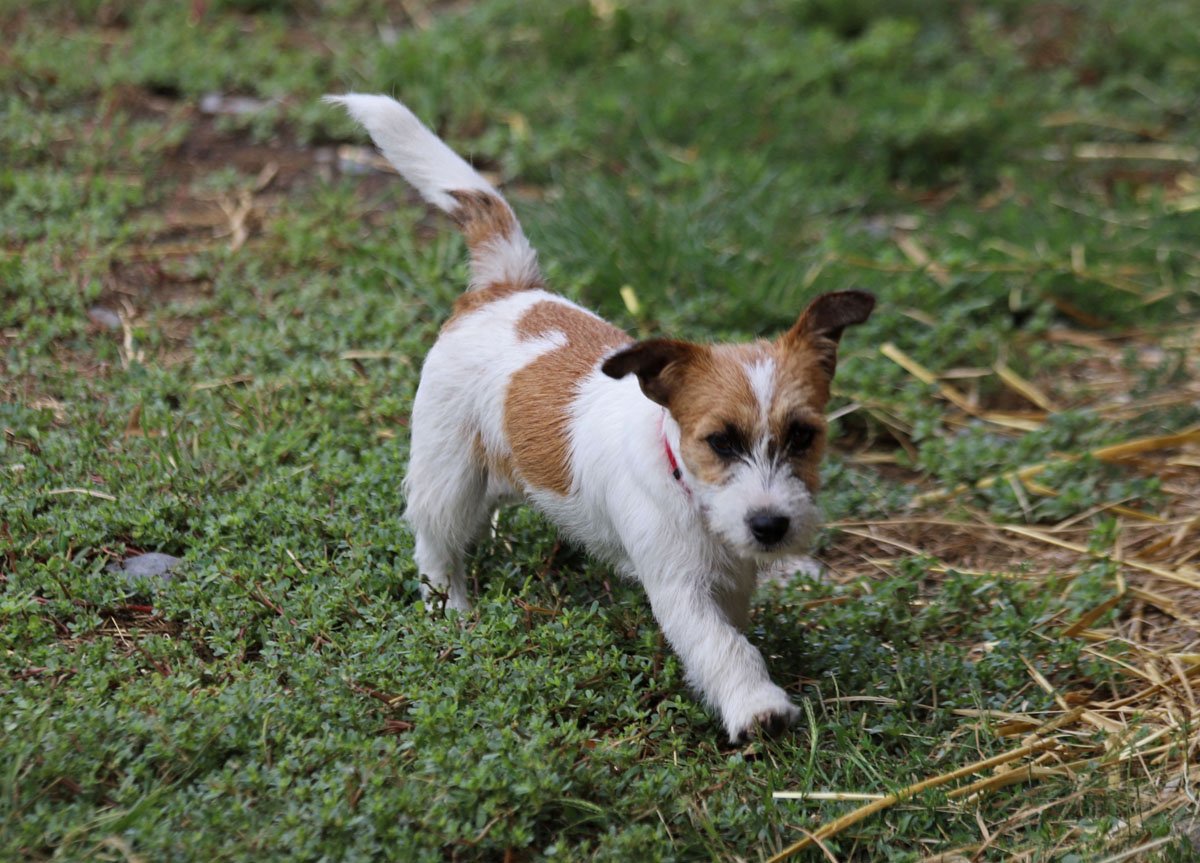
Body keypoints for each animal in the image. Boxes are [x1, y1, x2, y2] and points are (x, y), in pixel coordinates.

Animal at [326, 94, 874, 742]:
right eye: (719, 441)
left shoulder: (732, 578)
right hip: (447, 470)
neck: (683, 481)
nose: (770, 526)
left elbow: (734, 628)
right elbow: (723, 646)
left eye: (803, 436)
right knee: (435, 544)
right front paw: (756, 706)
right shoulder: (680, 589)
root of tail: (504, 288)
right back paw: (451, 613)